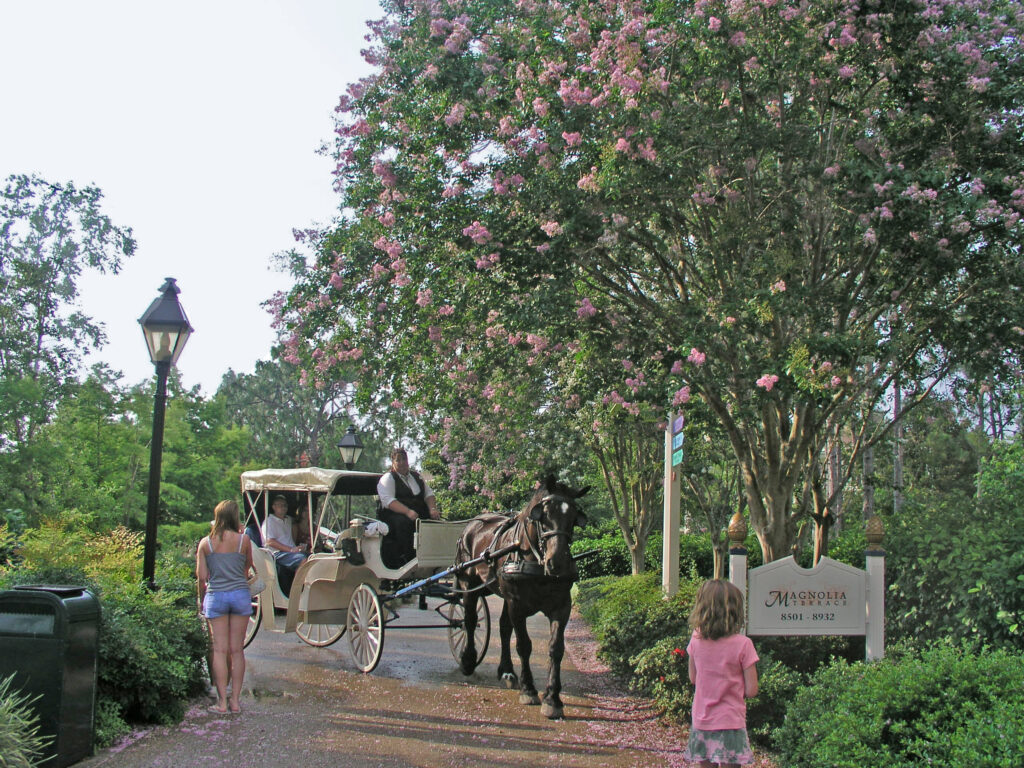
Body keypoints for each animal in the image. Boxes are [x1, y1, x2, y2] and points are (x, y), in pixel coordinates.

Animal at [454, 475, 589, 720]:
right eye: (543, 515)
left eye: (574, 518)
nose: (558, 562)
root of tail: (473, 523)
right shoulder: (517, 604)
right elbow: (524, 645)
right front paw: (529, 690)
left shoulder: (562, 606)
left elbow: (556, 648)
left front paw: (553, 699)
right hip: (469, 584)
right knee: (469, 621)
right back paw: (468, 660)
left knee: (503, 628)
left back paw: (507, 671)